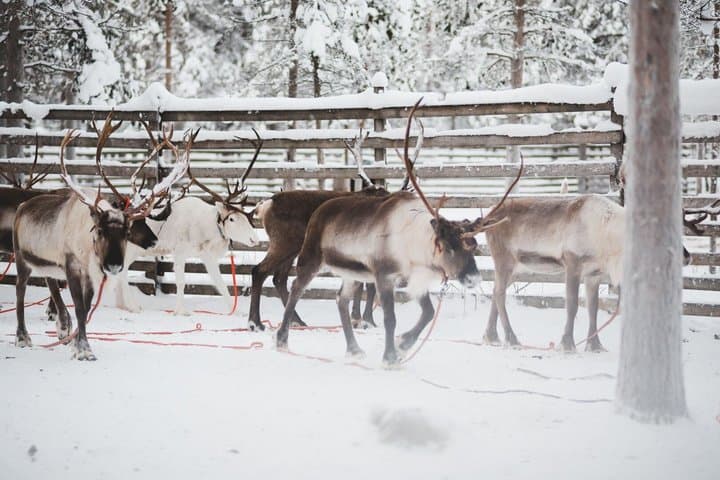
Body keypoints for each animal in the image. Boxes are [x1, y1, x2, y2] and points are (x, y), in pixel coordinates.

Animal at [13, 121, 189, 360]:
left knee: (49, 282)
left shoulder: (91, 273)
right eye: (100, 230)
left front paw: (76, 343)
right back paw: (23, 337)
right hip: (21, 258)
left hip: (49, 263)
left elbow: (86, 308)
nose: (114, 265)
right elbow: (79, 307)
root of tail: (22, 206)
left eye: (127, 232)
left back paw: (61, 328)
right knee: (20, 291)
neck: (90, 250)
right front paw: (83, 350)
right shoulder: (72, 266)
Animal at [115, 128, 262, 315]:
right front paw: (181, 311)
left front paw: (236, 311)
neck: (207, 230)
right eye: (232, 218)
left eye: (246, 218)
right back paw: (132, 306)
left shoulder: (206, 256)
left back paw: (124, 305)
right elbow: (181, 282)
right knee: (121, 272)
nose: (255, 239)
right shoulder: (179, 252)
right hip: (130, 248)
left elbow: (221, 284)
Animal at [275, 99, 519, 366]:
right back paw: (282, 340)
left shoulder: (412, 276)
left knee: (341, 299)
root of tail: (320, 210)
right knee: (296, 289)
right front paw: (390, 357)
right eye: (447, 246)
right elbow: (389, 318)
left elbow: (428, 313)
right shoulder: (384, 275)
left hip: (352, 272)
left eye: (473, 245)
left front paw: (403, 344)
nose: (473, 278)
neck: (413, 246)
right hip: (311, 257)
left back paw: (354, 349)